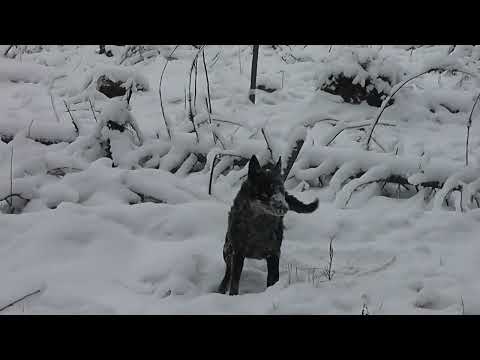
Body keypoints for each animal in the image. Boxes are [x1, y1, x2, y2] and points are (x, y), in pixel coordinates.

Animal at [218, 155, 318, 296]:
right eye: (267, 191)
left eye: (282, 190)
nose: (285, 207)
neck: (259, 227)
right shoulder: (238, 253)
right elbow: (234, 283)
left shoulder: (274, 254)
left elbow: (272, 281)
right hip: (227, 249)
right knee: (228, 272)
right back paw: (221, 288)